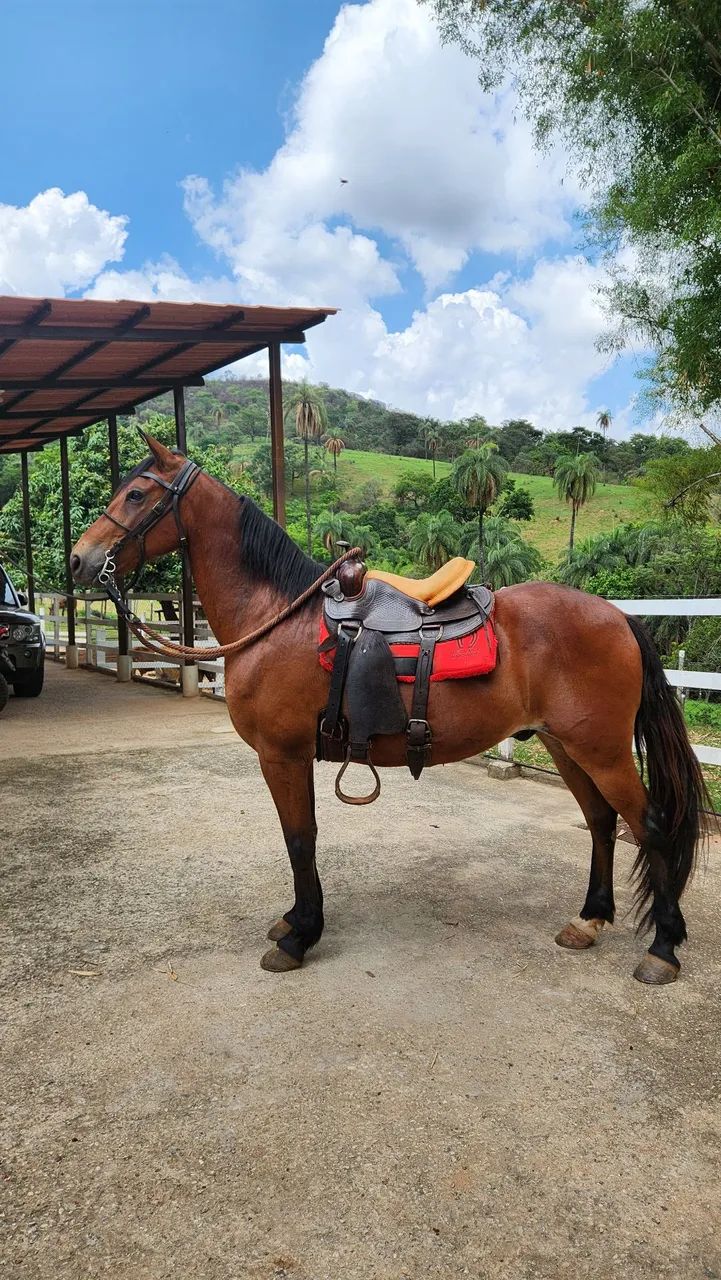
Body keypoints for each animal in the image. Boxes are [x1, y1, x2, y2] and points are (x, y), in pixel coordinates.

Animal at [70, 433, 708, 985]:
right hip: (566, 743)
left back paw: (663, 948)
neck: (276, 618)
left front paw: (299, 937)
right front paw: (297, 920)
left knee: (649, 826)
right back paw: (589, 919)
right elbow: (302, 836)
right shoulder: (293, 756)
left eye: (136, 494)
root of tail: (618, 616)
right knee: (602, 822)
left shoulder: (281, 754)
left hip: (601, 749)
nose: (79, 561)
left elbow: (299, 838)